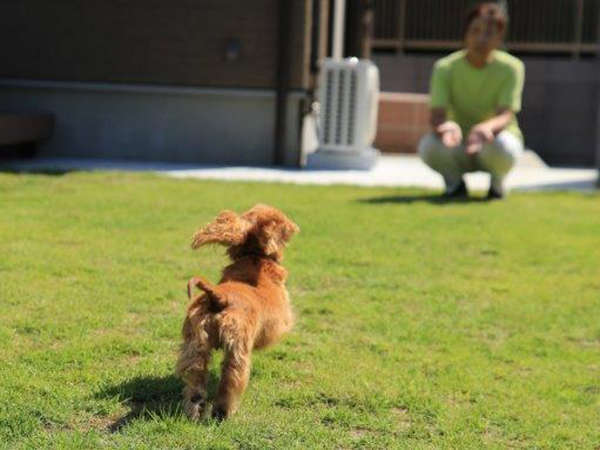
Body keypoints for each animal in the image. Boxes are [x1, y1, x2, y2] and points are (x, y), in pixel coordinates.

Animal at [177, 202, 300, 420]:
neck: (255, 257)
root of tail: (218, 297)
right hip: (238, 348)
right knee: (231, 381)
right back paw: (223, 412)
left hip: (195, 343)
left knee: (196, 380)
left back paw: (194, 410)